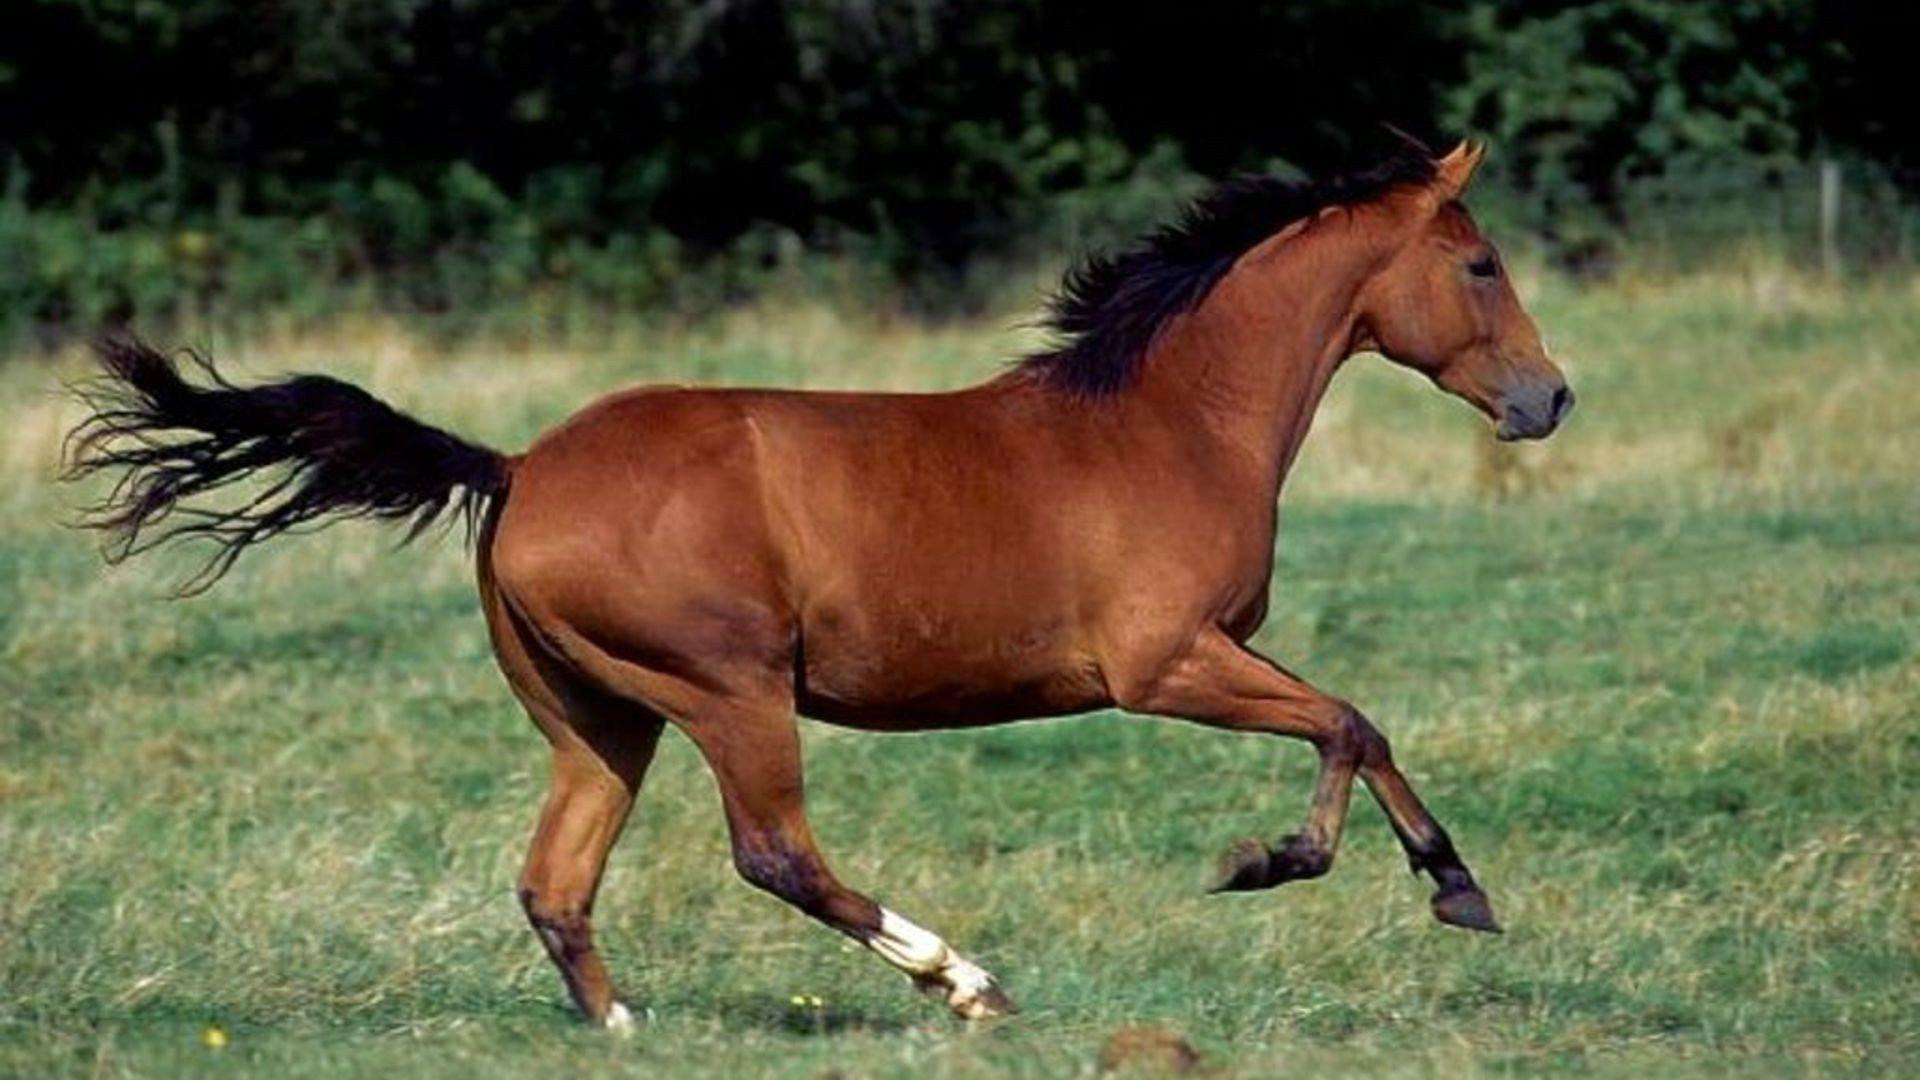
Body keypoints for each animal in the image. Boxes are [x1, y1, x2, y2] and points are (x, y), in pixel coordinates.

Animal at [65, 141, 1572, 1030]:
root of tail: (519, 471)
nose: (1550, 398)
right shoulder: (1162, 664)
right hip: (729, 692)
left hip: (599, 720)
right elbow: (1349, 722)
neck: (1170, 417)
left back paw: (626, 1033)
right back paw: (965, 981)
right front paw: (1310, 868)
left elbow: (1356, 724)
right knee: (776, 854)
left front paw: (1437, 885)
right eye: (1480, 261)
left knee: (557, 882)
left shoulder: (1199, 660)